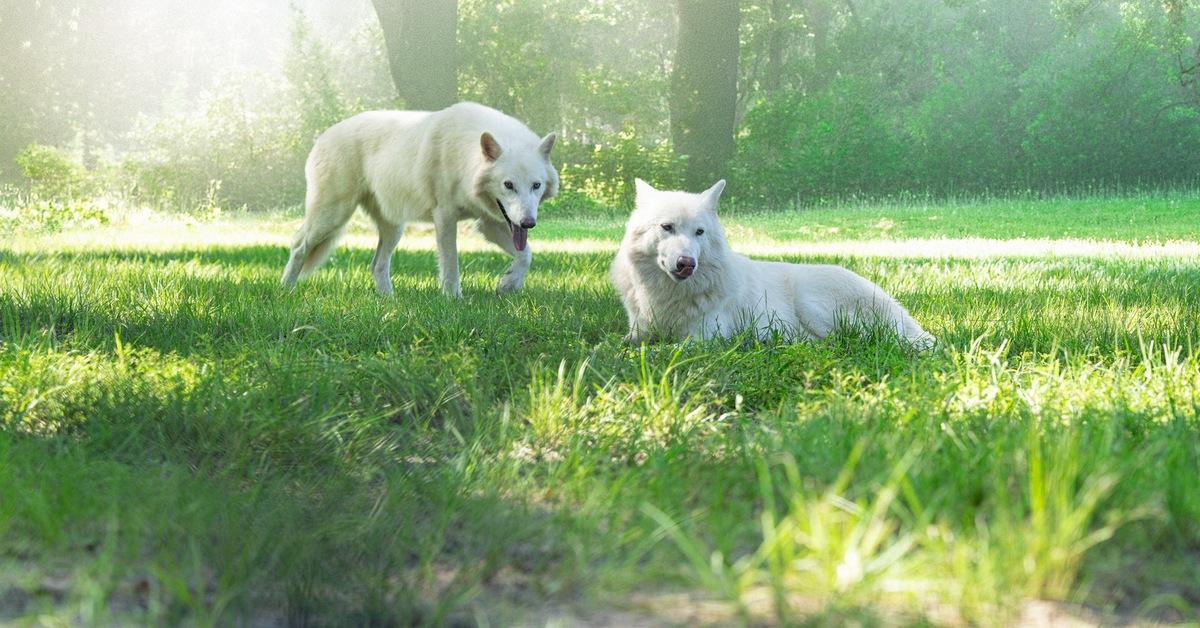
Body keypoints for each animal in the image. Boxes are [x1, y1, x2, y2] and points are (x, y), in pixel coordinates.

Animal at [280, 102, 559, 297]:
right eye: (508, 185)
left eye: (536, 185)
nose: (528, 223)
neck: (464, 158)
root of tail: (323, 136)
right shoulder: (445, 216)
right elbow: (451, 263)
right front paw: (453, 298)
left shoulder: (491, 223)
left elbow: (526, 255)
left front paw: (508, 284)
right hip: (332, 217)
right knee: (299, 246)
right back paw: (286, 290)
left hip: (393, 230)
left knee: (377, 265)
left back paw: (389, 300)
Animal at [611, 179, 935, 347]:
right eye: (667, 227)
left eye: (699, 232)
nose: (687, 263)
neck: (667, 295)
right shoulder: (637, 331)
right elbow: (616, 343)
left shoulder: (704, 338)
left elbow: (662, 350)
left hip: (812, 304)